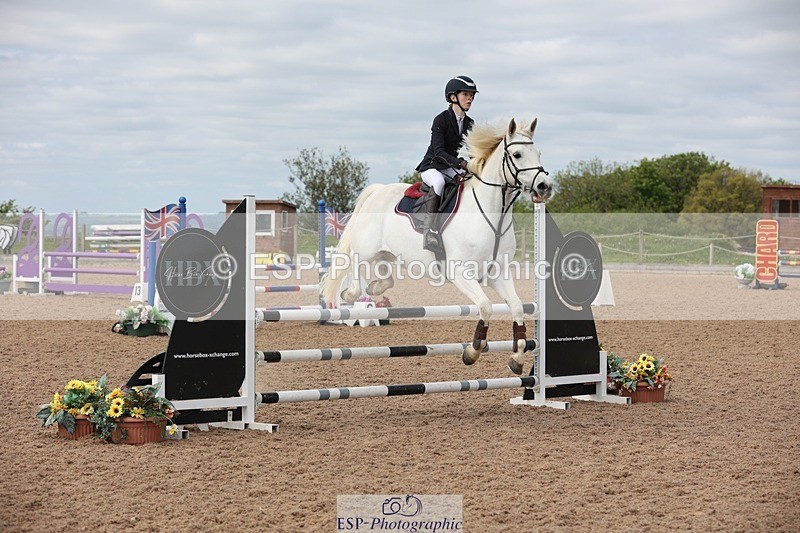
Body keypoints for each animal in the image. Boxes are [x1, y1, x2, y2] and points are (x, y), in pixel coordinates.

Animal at [320, 118, 552, 374]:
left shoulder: (498, 274)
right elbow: (485, 306)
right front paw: (472, 352)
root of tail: (378, 191)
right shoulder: (460, 273)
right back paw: (351, 293)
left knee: (384, 275)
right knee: (355, 262)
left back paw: (374, 288)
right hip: (367, 248)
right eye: (518, 154)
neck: (493, 215)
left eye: (538, 153)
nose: (544, 187)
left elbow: (518, 308)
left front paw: (517, 358)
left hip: (387, 253)